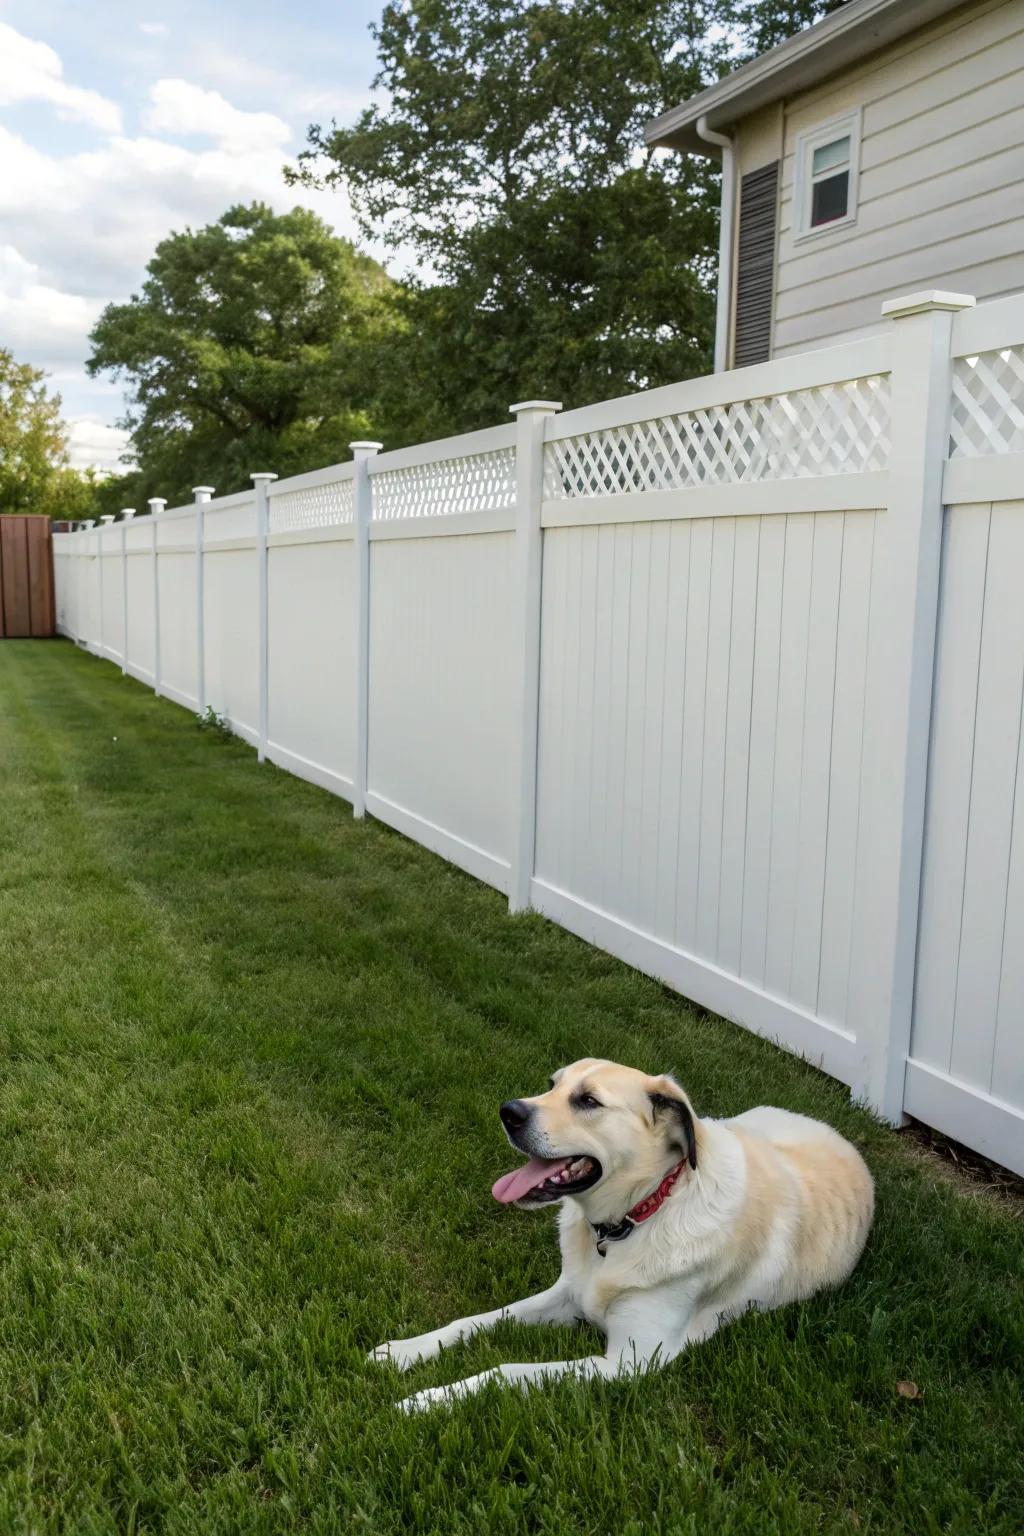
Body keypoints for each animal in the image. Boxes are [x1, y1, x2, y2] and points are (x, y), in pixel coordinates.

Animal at [373, 1062, 878, 1406]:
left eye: (588, 1101)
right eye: (552, 1085)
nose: (507, 1111)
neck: (633, 1219)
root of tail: (842, 1137)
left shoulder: (628, 1363)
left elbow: (505, 1369)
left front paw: (424, 1400)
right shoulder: (569, 1295)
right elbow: (477, 1320)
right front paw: (403, 1352)